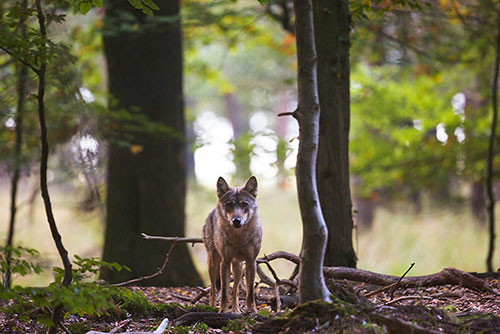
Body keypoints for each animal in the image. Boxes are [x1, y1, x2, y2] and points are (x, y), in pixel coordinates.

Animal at [202, 176, 264, 314]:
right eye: (229, 204)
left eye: (244, 204)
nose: (236, 221)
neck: (239, 238)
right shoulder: (225, 262)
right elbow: (224, 292)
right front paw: (223, 311)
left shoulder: (251, 262)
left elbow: (249, 292)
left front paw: (252, 310)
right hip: (214, 263)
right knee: (213, 289)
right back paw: (212, 307)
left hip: (238, 267)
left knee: (235, 290)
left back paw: (236, 310)